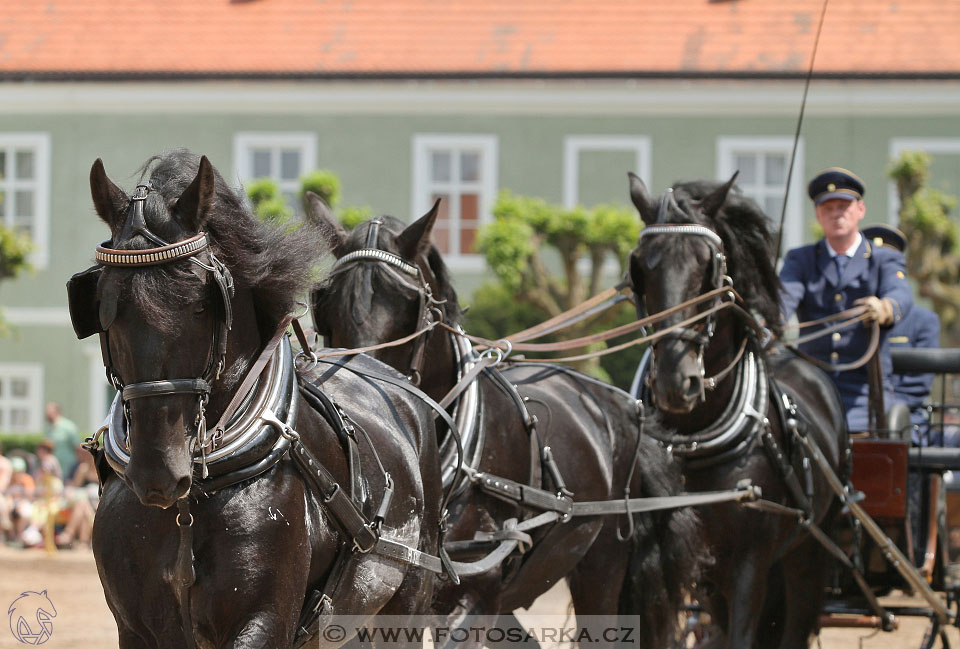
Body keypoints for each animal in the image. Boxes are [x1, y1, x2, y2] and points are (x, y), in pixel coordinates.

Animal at [67, 149, 442, 644]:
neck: (187, 506)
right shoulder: (135, 628)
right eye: (106, 307)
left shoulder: (264, 621)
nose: (157, 471)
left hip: (406, 599)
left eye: (201, 304)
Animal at [632, 173, 848, 648]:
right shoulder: (687, 561)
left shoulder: (750, 563)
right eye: (641, 266)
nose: (676, 381)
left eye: (708, 264)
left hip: (811, 549)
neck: (697, 438)